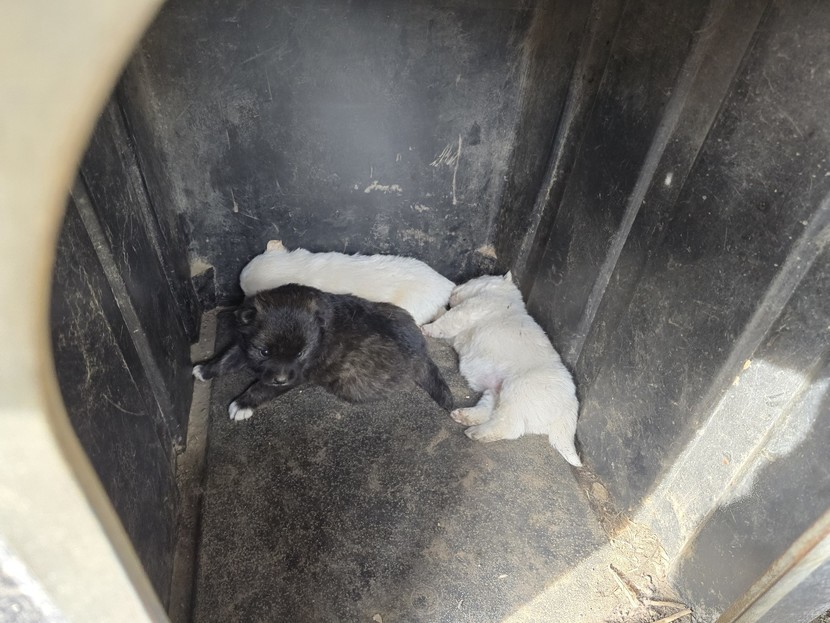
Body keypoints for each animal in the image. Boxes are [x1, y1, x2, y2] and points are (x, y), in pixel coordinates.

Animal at [193, 284, 453, 420]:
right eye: (264, 352)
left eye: (300, 354)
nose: (281, 379)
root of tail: (422, 353)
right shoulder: (244, 342)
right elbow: (227, 358)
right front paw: (205, 369)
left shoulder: (299, 373)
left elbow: (262, 387)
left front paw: (243, 403)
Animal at [422, 273, 582, 466]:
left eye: (472, 279)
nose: (453, 289)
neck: (504, 293)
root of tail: (570, 407)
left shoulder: (475, 307)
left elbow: (449, 319)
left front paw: (426, 327)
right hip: (498, 389)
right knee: (489, 410)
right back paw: (464, 416)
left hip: (520, 389)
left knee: (508, 425)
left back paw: (476, 433)